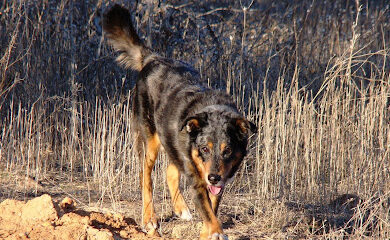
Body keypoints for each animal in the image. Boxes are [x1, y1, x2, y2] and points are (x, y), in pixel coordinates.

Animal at [102, 4, 258, 240]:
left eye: (228, 150)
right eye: (204, 148)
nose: (213, 177)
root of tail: (153, 58)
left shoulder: (217, 180)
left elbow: (211, 209)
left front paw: (207, 232)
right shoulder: (198, 179)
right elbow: (208, 211)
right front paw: (215, 232)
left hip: (172, 141)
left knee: (170, 171)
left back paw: (181, 209)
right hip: (150, 141)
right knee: (145, 177)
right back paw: (149, 219)